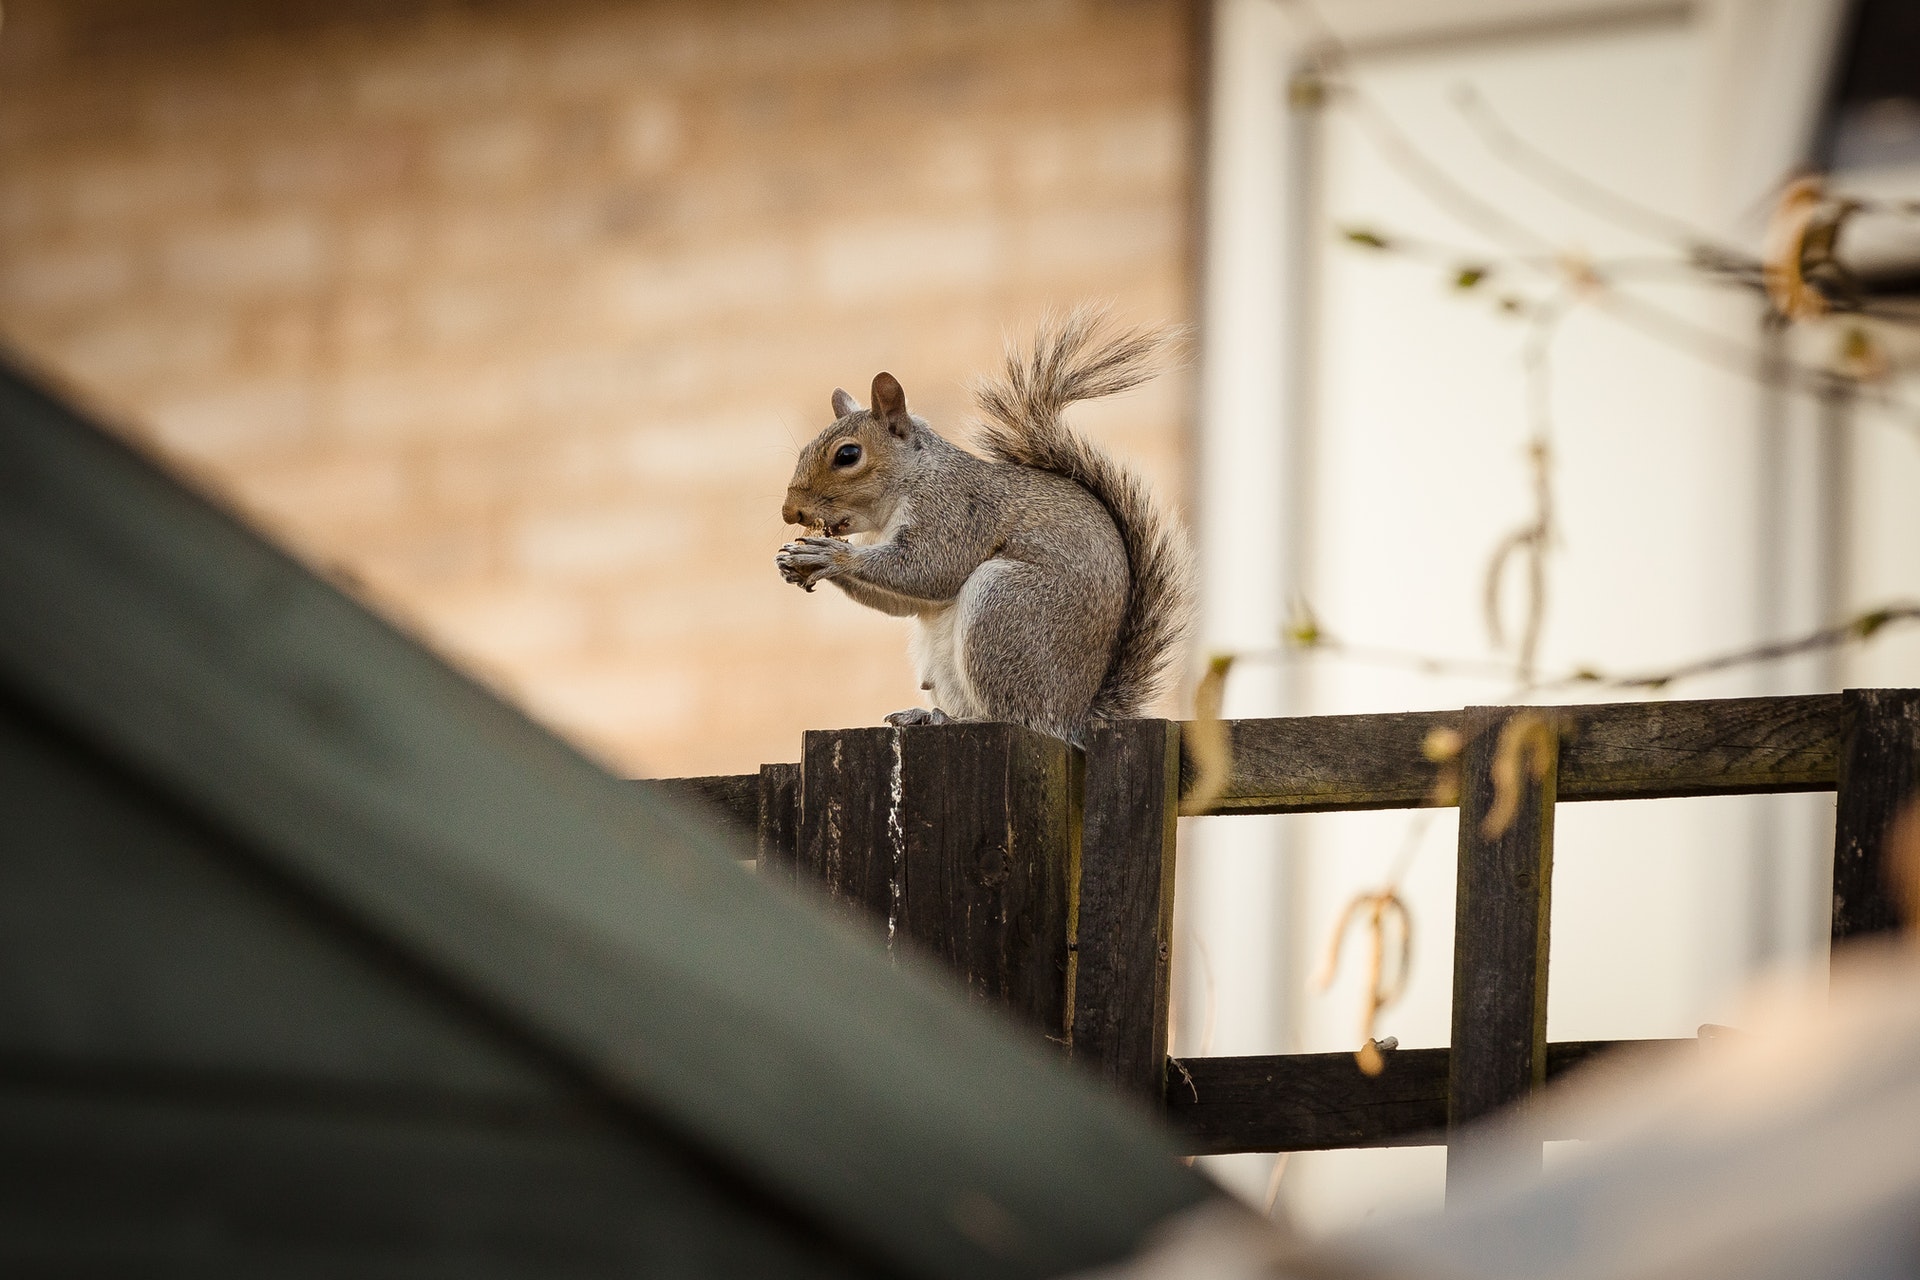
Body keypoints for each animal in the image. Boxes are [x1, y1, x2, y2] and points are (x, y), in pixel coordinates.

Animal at [775, 307, 1190, 744]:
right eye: (804, 451)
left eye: (848, 455)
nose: (790, 511)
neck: (908, 482)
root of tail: (1074, 716)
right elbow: (905, 601)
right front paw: (795, 562)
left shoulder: (955, 511)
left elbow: (929, 570)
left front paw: (830, 556)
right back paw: (926, 714)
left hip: (1005, 608)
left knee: (1014, 715)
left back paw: (955, 720)